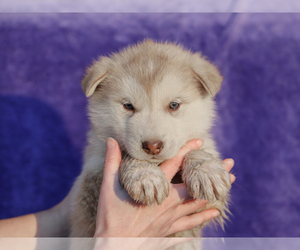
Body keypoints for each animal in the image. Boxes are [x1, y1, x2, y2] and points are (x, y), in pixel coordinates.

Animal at [69, 40, 231, 237]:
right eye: (128, 106)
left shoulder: (209, 207)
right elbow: (126, 155)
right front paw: (145, 175)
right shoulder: (91, 183)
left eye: (174, 105)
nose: (152, 146)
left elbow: (194, 150)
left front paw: (205, 170)